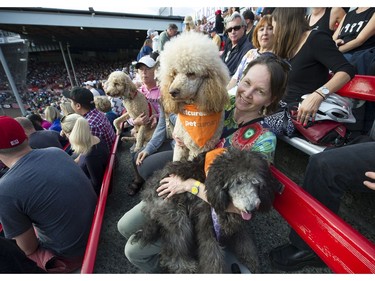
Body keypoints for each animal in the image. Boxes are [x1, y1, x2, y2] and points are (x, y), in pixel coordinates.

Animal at [134, 148, 284, 272]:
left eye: (255, 182)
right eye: (237, 182)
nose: (251, 208)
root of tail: (147, 195)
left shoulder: (236, 224)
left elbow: (245, 243)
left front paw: (252, 263)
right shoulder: (207, 226)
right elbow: (213, 259)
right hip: (178, 218)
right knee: (171, 252)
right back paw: (185, 266)